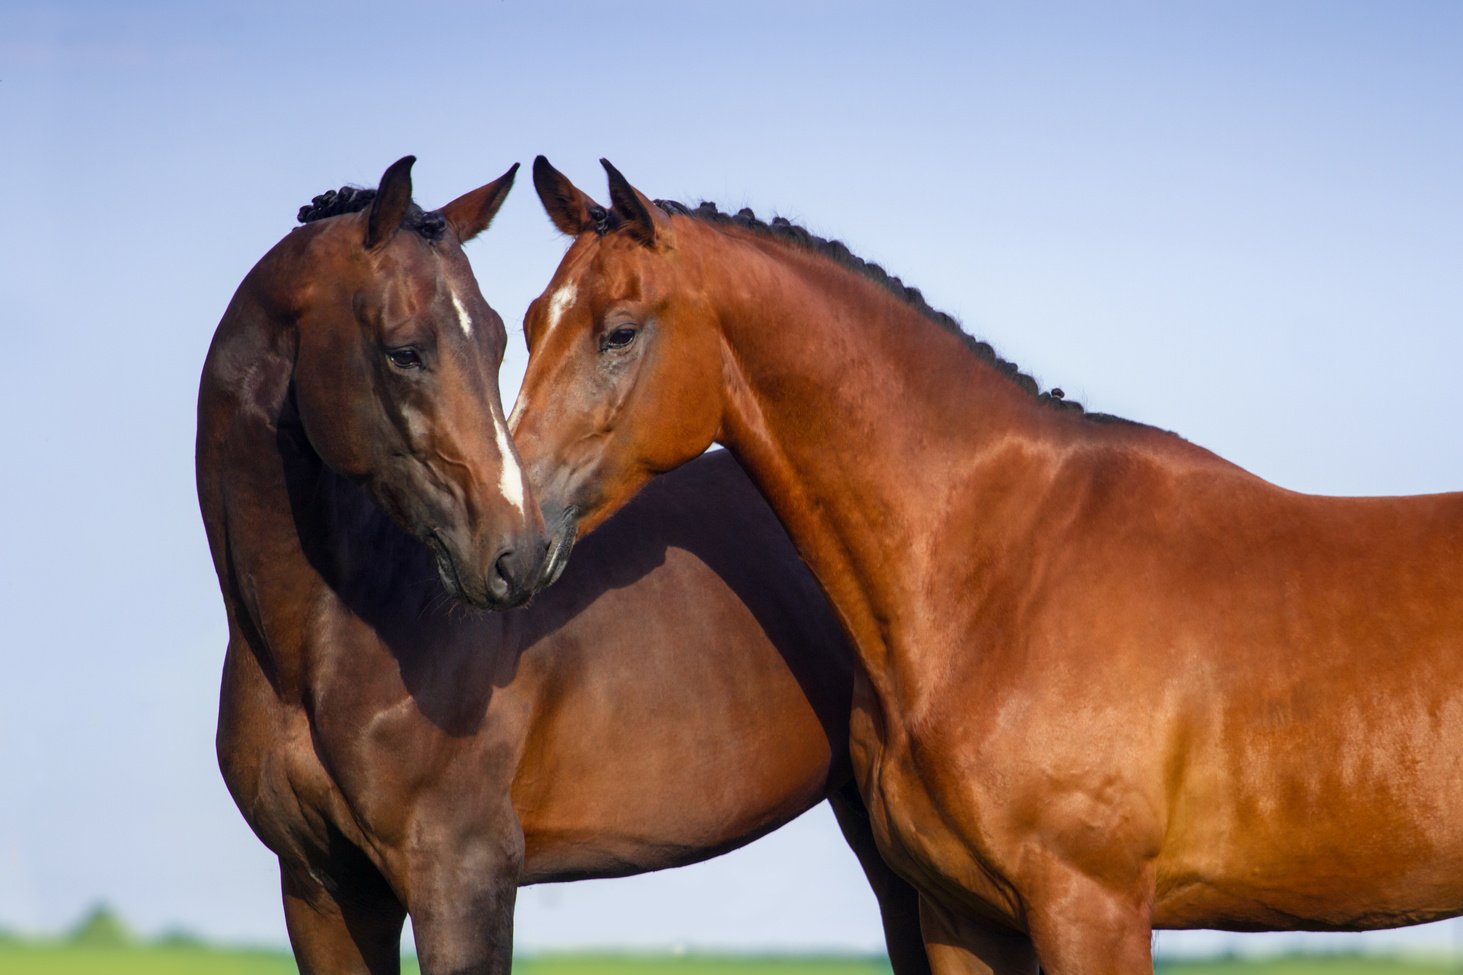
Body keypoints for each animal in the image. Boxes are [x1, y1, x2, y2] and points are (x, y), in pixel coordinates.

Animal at [194, 159, 930, 972]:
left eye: (493, 341)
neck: (319, 643)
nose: (513, 552)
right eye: (403, 350)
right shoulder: (321, 890)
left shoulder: (461, 872)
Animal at [506, 155, 1463, 966]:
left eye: (618, 332)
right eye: (527, 321)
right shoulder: (960, 916)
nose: (510, 535)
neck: (998, 571)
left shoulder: (1090, 909)